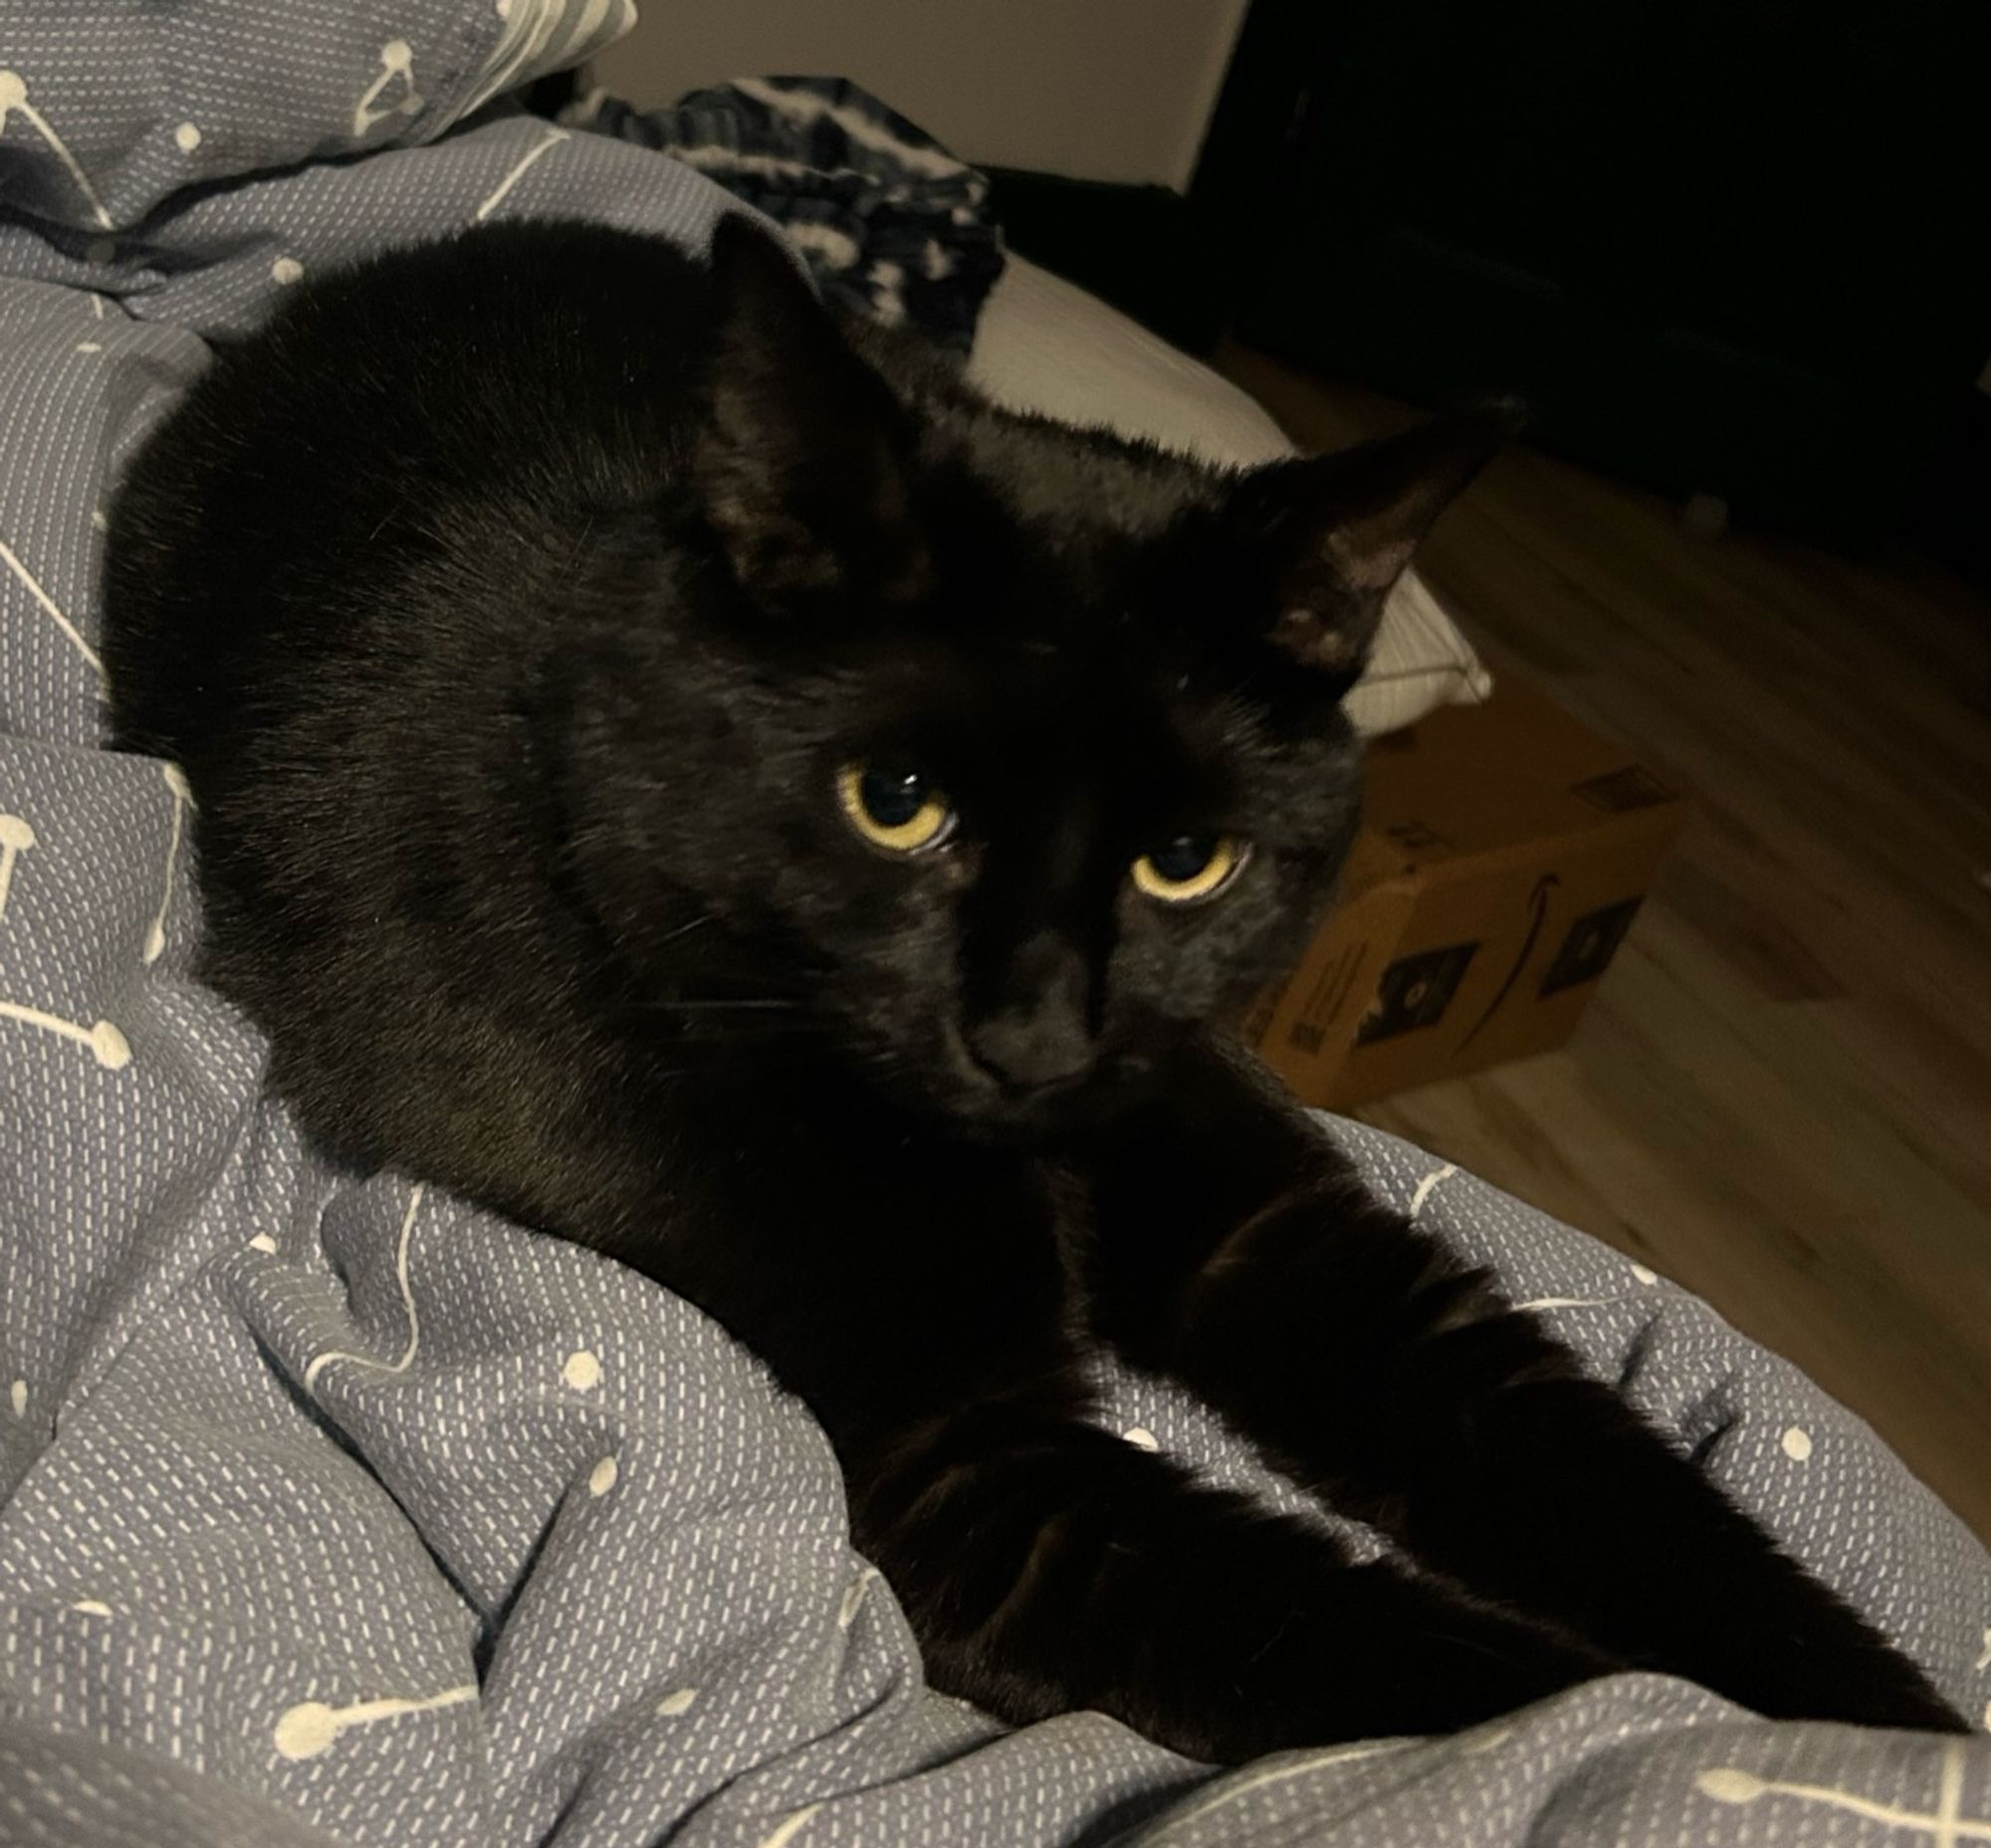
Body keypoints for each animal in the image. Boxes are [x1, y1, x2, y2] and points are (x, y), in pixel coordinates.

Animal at [101, 217, 1967, 1760]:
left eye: (1187, 859)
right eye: (896, 801)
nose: (1036, 1034)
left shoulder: (1286, 1242)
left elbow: (1625, 1496)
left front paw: (1890, 1732)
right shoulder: (981, 1470)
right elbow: (1452, 1667)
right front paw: (1746, 1761)